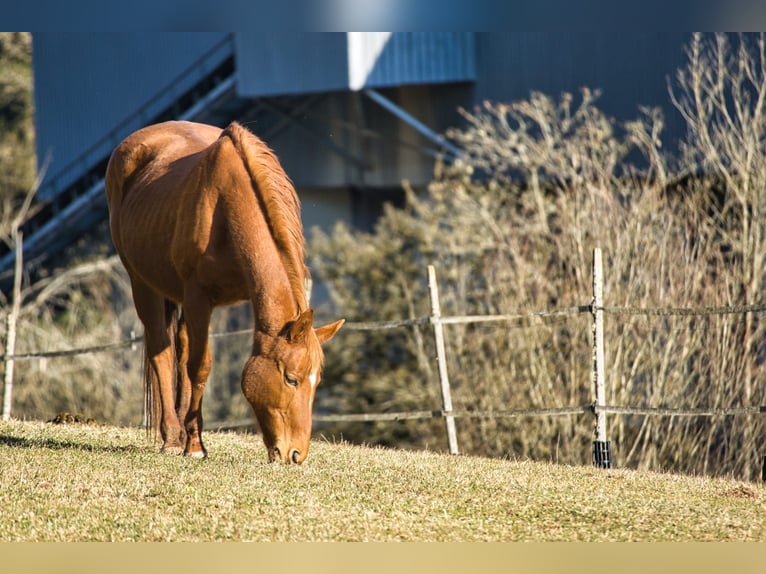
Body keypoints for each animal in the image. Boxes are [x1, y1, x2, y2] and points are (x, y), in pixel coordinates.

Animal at [105, 120, 344, 464]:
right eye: (291, 379)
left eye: (317, 382)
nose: (295, 454)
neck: (226, 207)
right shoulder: (197, 297)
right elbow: (199, 366)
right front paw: (194, 446)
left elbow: (191, 361)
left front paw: (192, 438)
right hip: (143, 284)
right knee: (161, 350)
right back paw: (173, 437)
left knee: (180, 345)